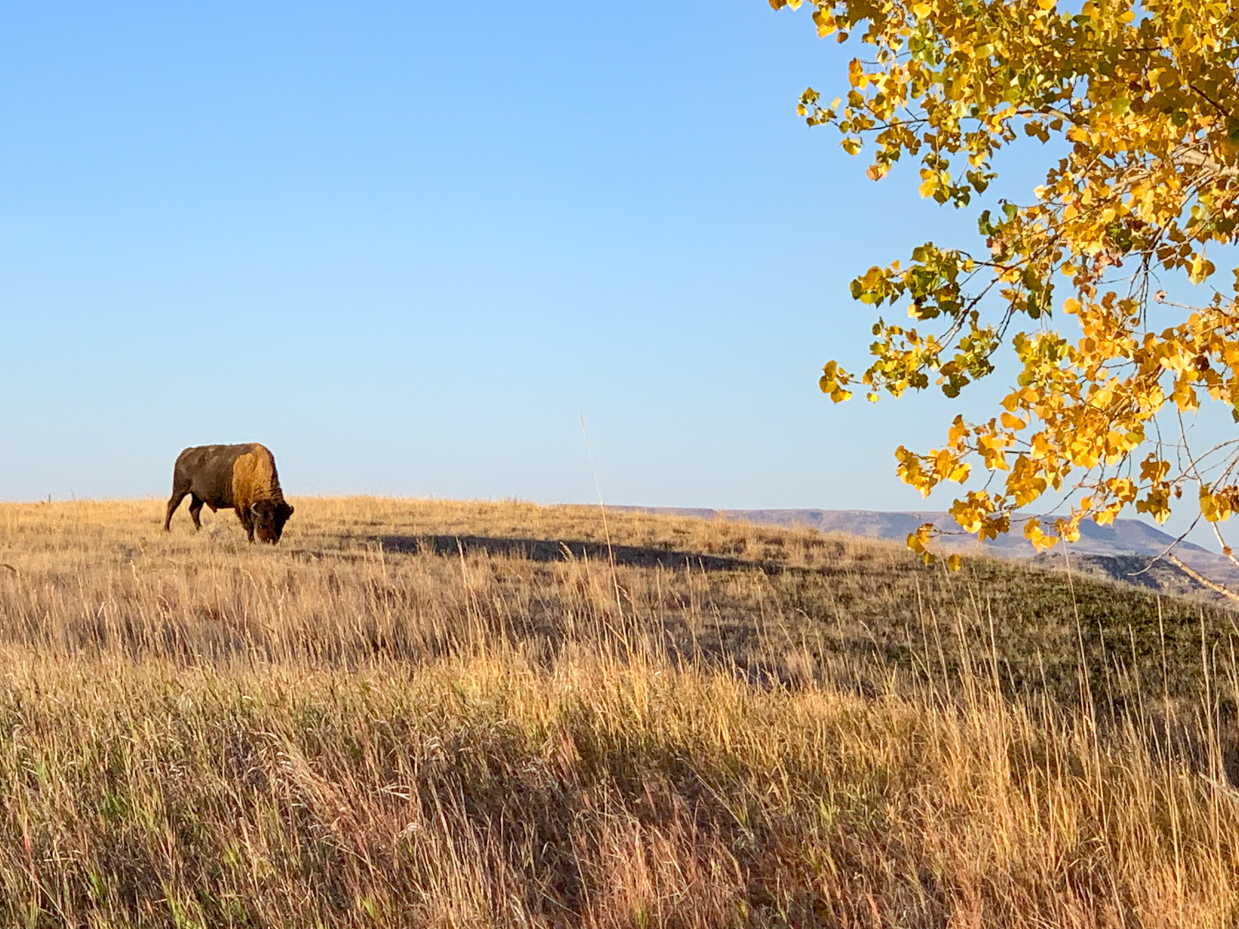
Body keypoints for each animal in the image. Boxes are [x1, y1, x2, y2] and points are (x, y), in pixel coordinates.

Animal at [162, 445, 294, 545]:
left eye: (281, 523)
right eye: (261, 524)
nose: (270, 540)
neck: (256, 469)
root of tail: (184, 453)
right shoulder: (242, 507)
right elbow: (249, 526)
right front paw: (251, 542)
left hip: (197, 496)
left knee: (194, 510)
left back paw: (200, 530)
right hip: (180, 490)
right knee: (172, 505)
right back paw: (166, 530)